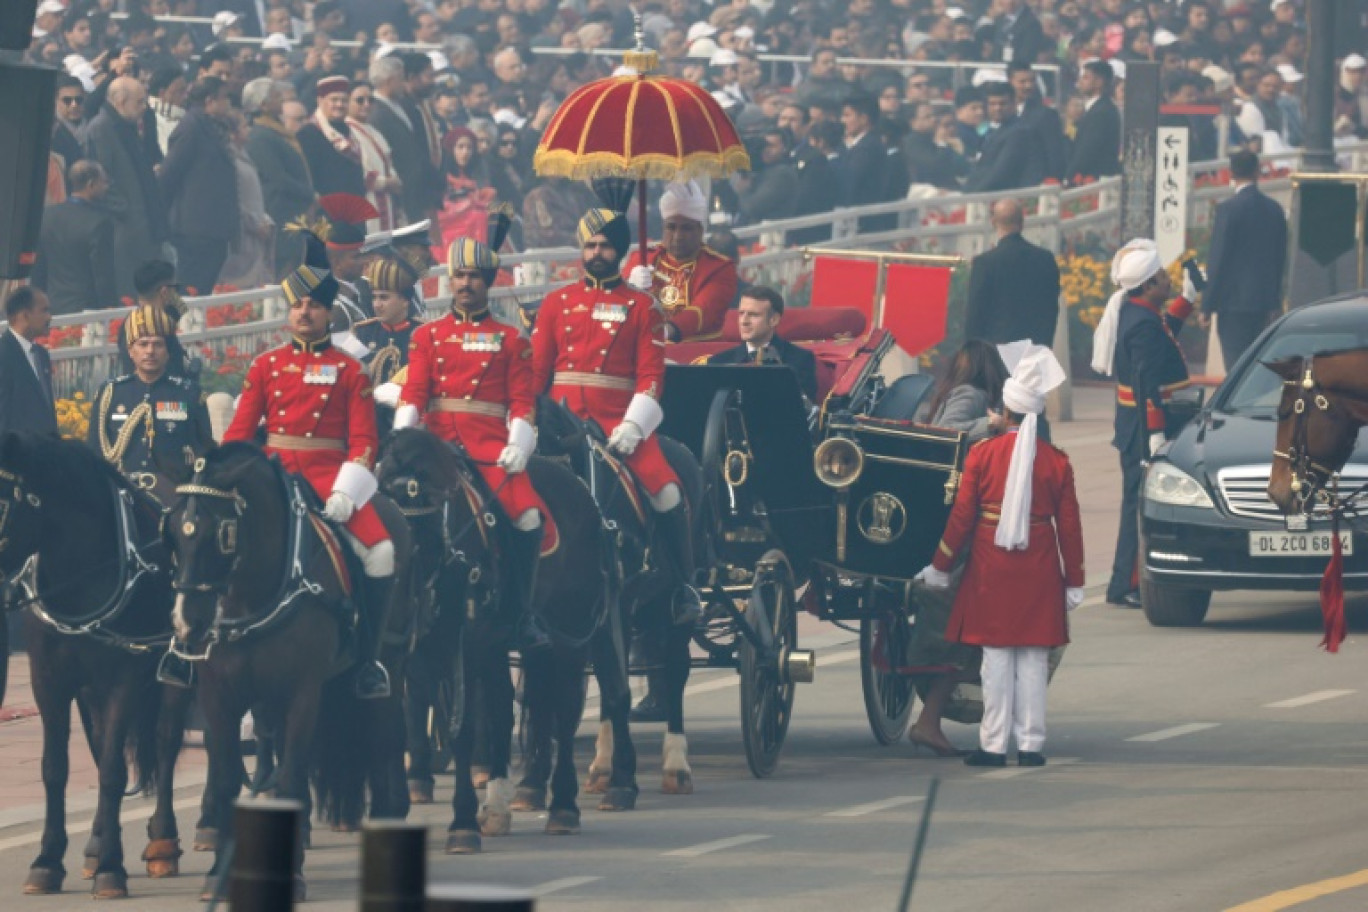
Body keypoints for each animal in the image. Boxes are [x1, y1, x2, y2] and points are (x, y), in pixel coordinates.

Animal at [0, 434, 188, 896]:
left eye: (4, 501)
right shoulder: (48, 680)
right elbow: (56, 768)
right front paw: (48, 861)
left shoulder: (124, 678)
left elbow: (113, 771)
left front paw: (111, 869)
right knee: (102, 745)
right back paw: (96, 843)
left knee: (165, 740)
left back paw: (163, 841)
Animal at [166, 443, 410, 896]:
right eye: (171, 530)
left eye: (223, 533)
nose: (187, 623)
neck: (250, 593)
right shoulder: (219, 697)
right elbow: (227, 779)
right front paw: (219, 872)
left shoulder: (302, 693)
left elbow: (292, 777)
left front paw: (292, 874)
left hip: (392, 662)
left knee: (386, 734)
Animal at [380, 429, 634, 858]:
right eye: (390, 519)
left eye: (433, 515)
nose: (415, 598)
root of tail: (585, 494)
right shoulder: (414, 658)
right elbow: (403, 721)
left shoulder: (462, 651)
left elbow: (463, 730)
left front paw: (462, 823)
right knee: (512, 707)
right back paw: (506, 801)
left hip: (575, 634)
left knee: (571, 708)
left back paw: (568, 804)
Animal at [530, 401, 705, 793]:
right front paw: (603, 765)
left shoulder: (616, 608)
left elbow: (614, 681)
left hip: (673, 605)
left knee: (676, 668)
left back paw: (677, 763)